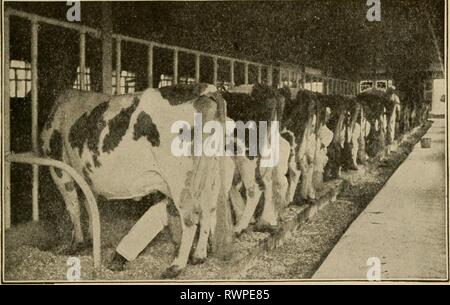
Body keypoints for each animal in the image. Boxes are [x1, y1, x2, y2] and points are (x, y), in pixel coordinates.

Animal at [40, 83, 234, 278]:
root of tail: (206, 89)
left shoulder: (58, 167)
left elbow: (73, 206)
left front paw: (76, 244)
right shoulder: (87, 176)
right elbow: (89, 204)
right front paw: (89, 239)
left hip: (178, 178)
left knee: (190, 215)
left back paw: (176, 267)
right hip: (210, 175)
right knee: (208, 209)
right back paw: (199, 256)